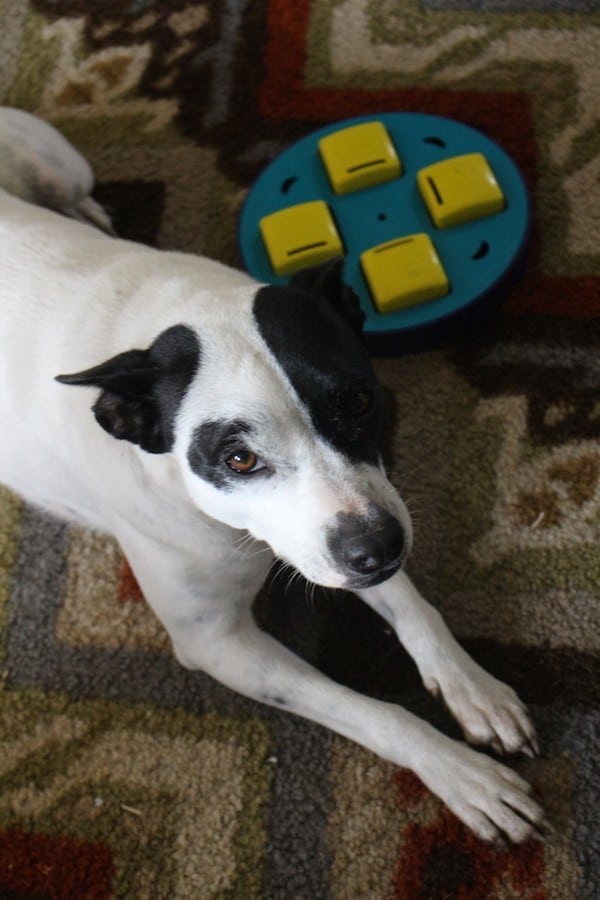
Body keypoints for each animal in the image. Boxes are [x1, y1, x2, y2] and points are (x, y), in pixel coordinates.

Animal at [0, 109, 548, 848]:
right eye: (238, 459)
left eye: (358, 400)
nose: (377, 548)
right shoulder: (219, 643)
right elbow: (377, 712)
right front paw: (462, 774)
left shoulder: (359, 518)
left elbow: (415, 608)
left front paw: (472, 685)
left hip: (48, 156)